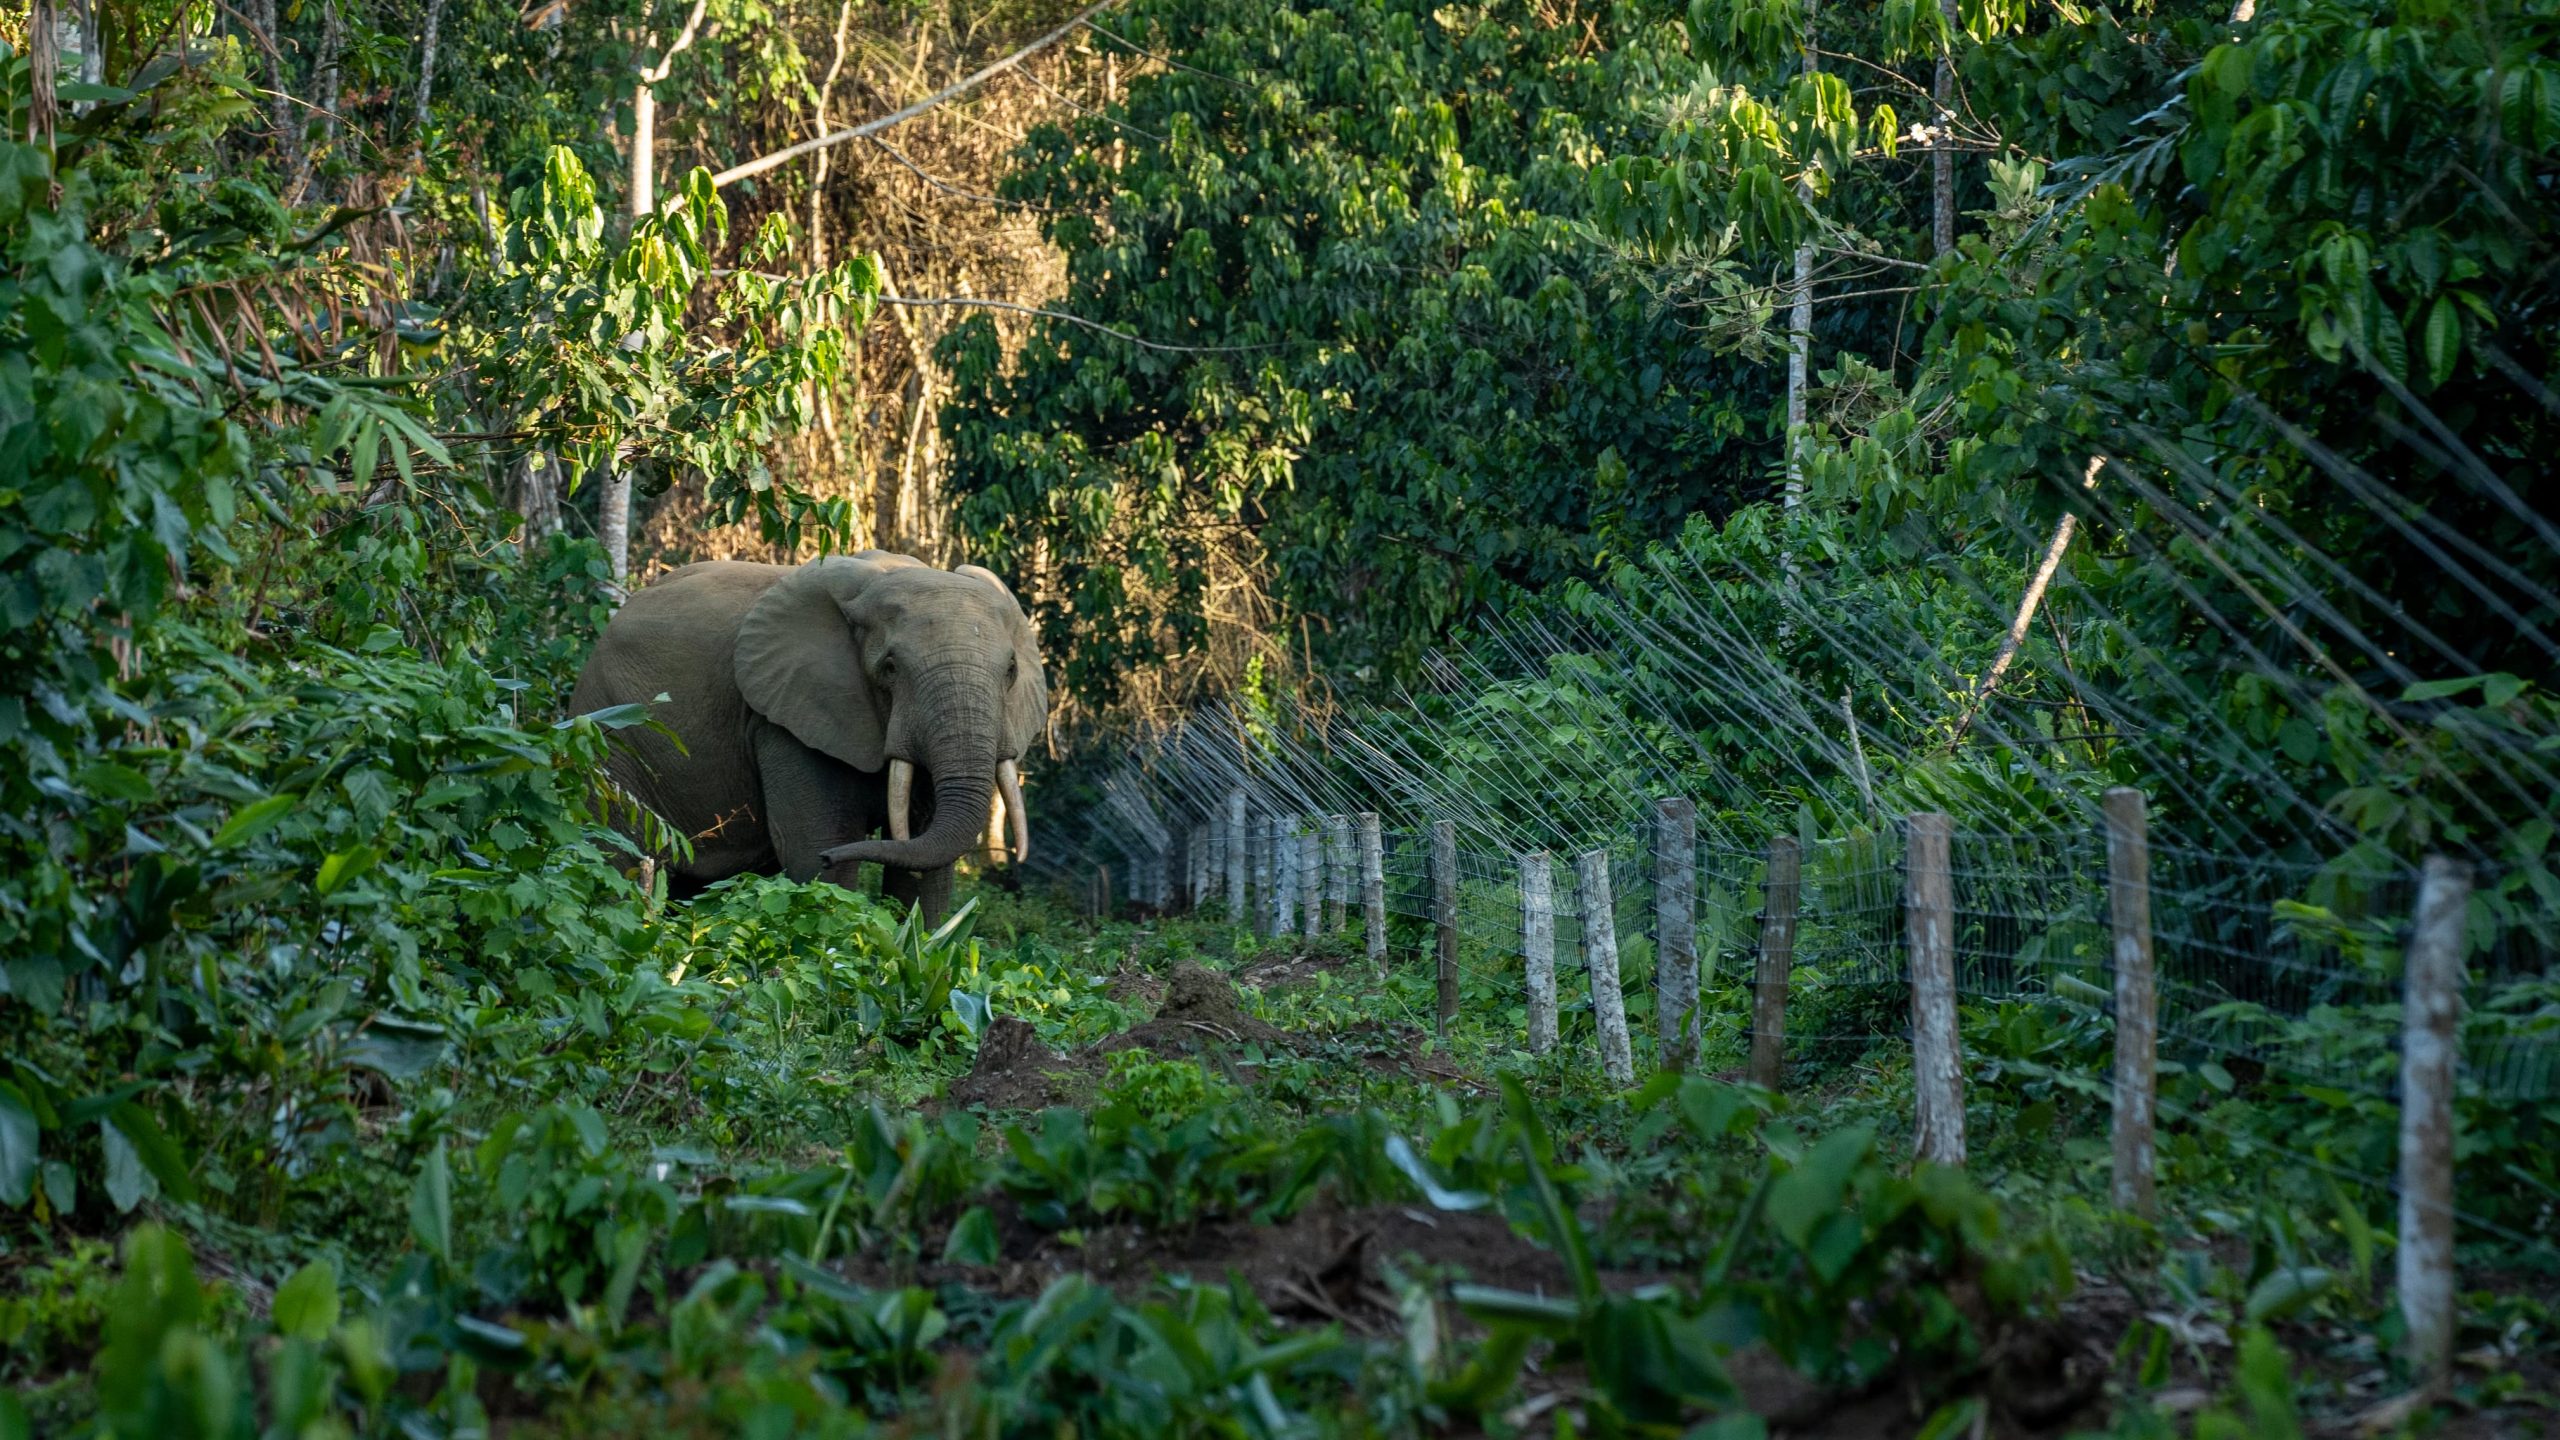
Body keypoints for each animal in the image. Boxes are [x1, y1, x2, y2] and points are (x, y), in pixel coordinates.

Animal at [569, 550, 1047, 922]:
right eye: (890, 668)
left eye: (1010, 670)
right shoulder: (785, 719)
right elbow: (816, 845)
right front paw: (830, 863)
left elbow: (927, 868)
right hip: (610, 738)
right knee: (618, 859)